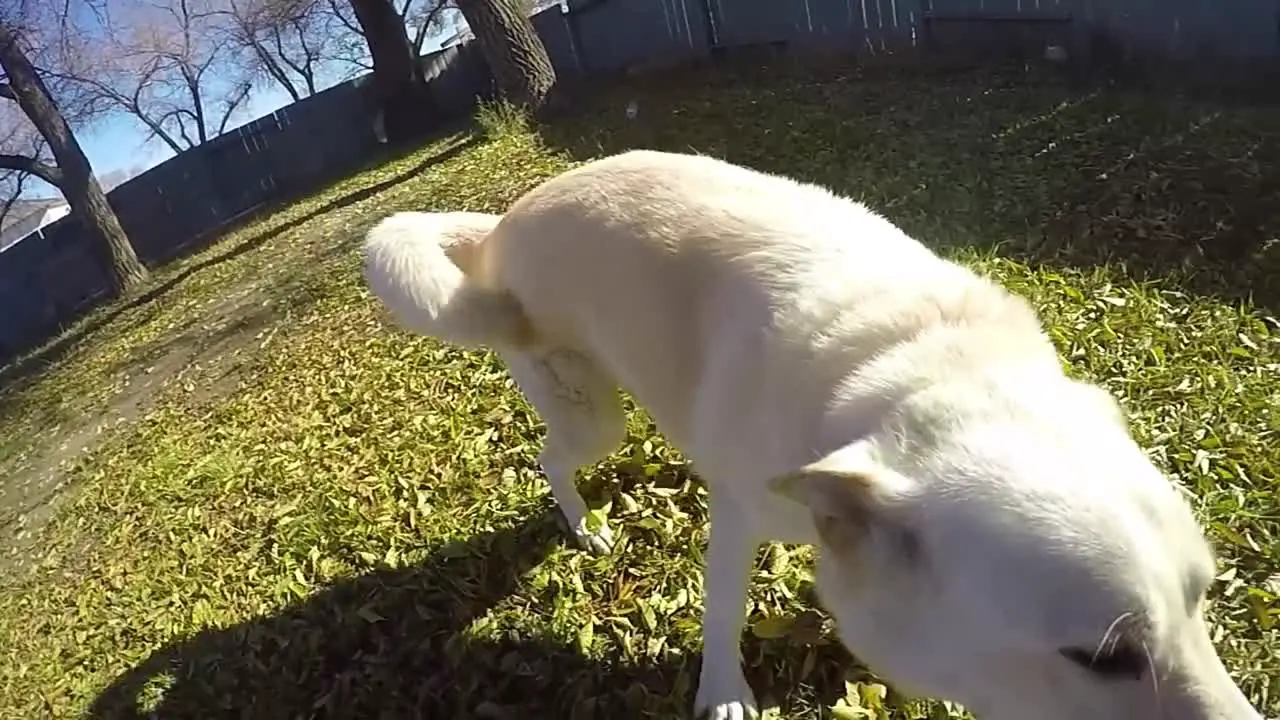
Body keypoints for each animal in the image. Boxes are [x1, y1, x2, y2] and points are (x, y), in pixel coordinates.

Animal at [360, 148, 1259, 712]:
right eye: (1104, 660)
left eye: (1204, 600)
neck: (917, 371)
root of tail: (500, 223)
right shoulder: (738, 519)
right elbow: (723, 613)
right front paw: (724, 697)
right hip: (592, 418)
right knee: (553, 461)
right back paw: (583, 527)